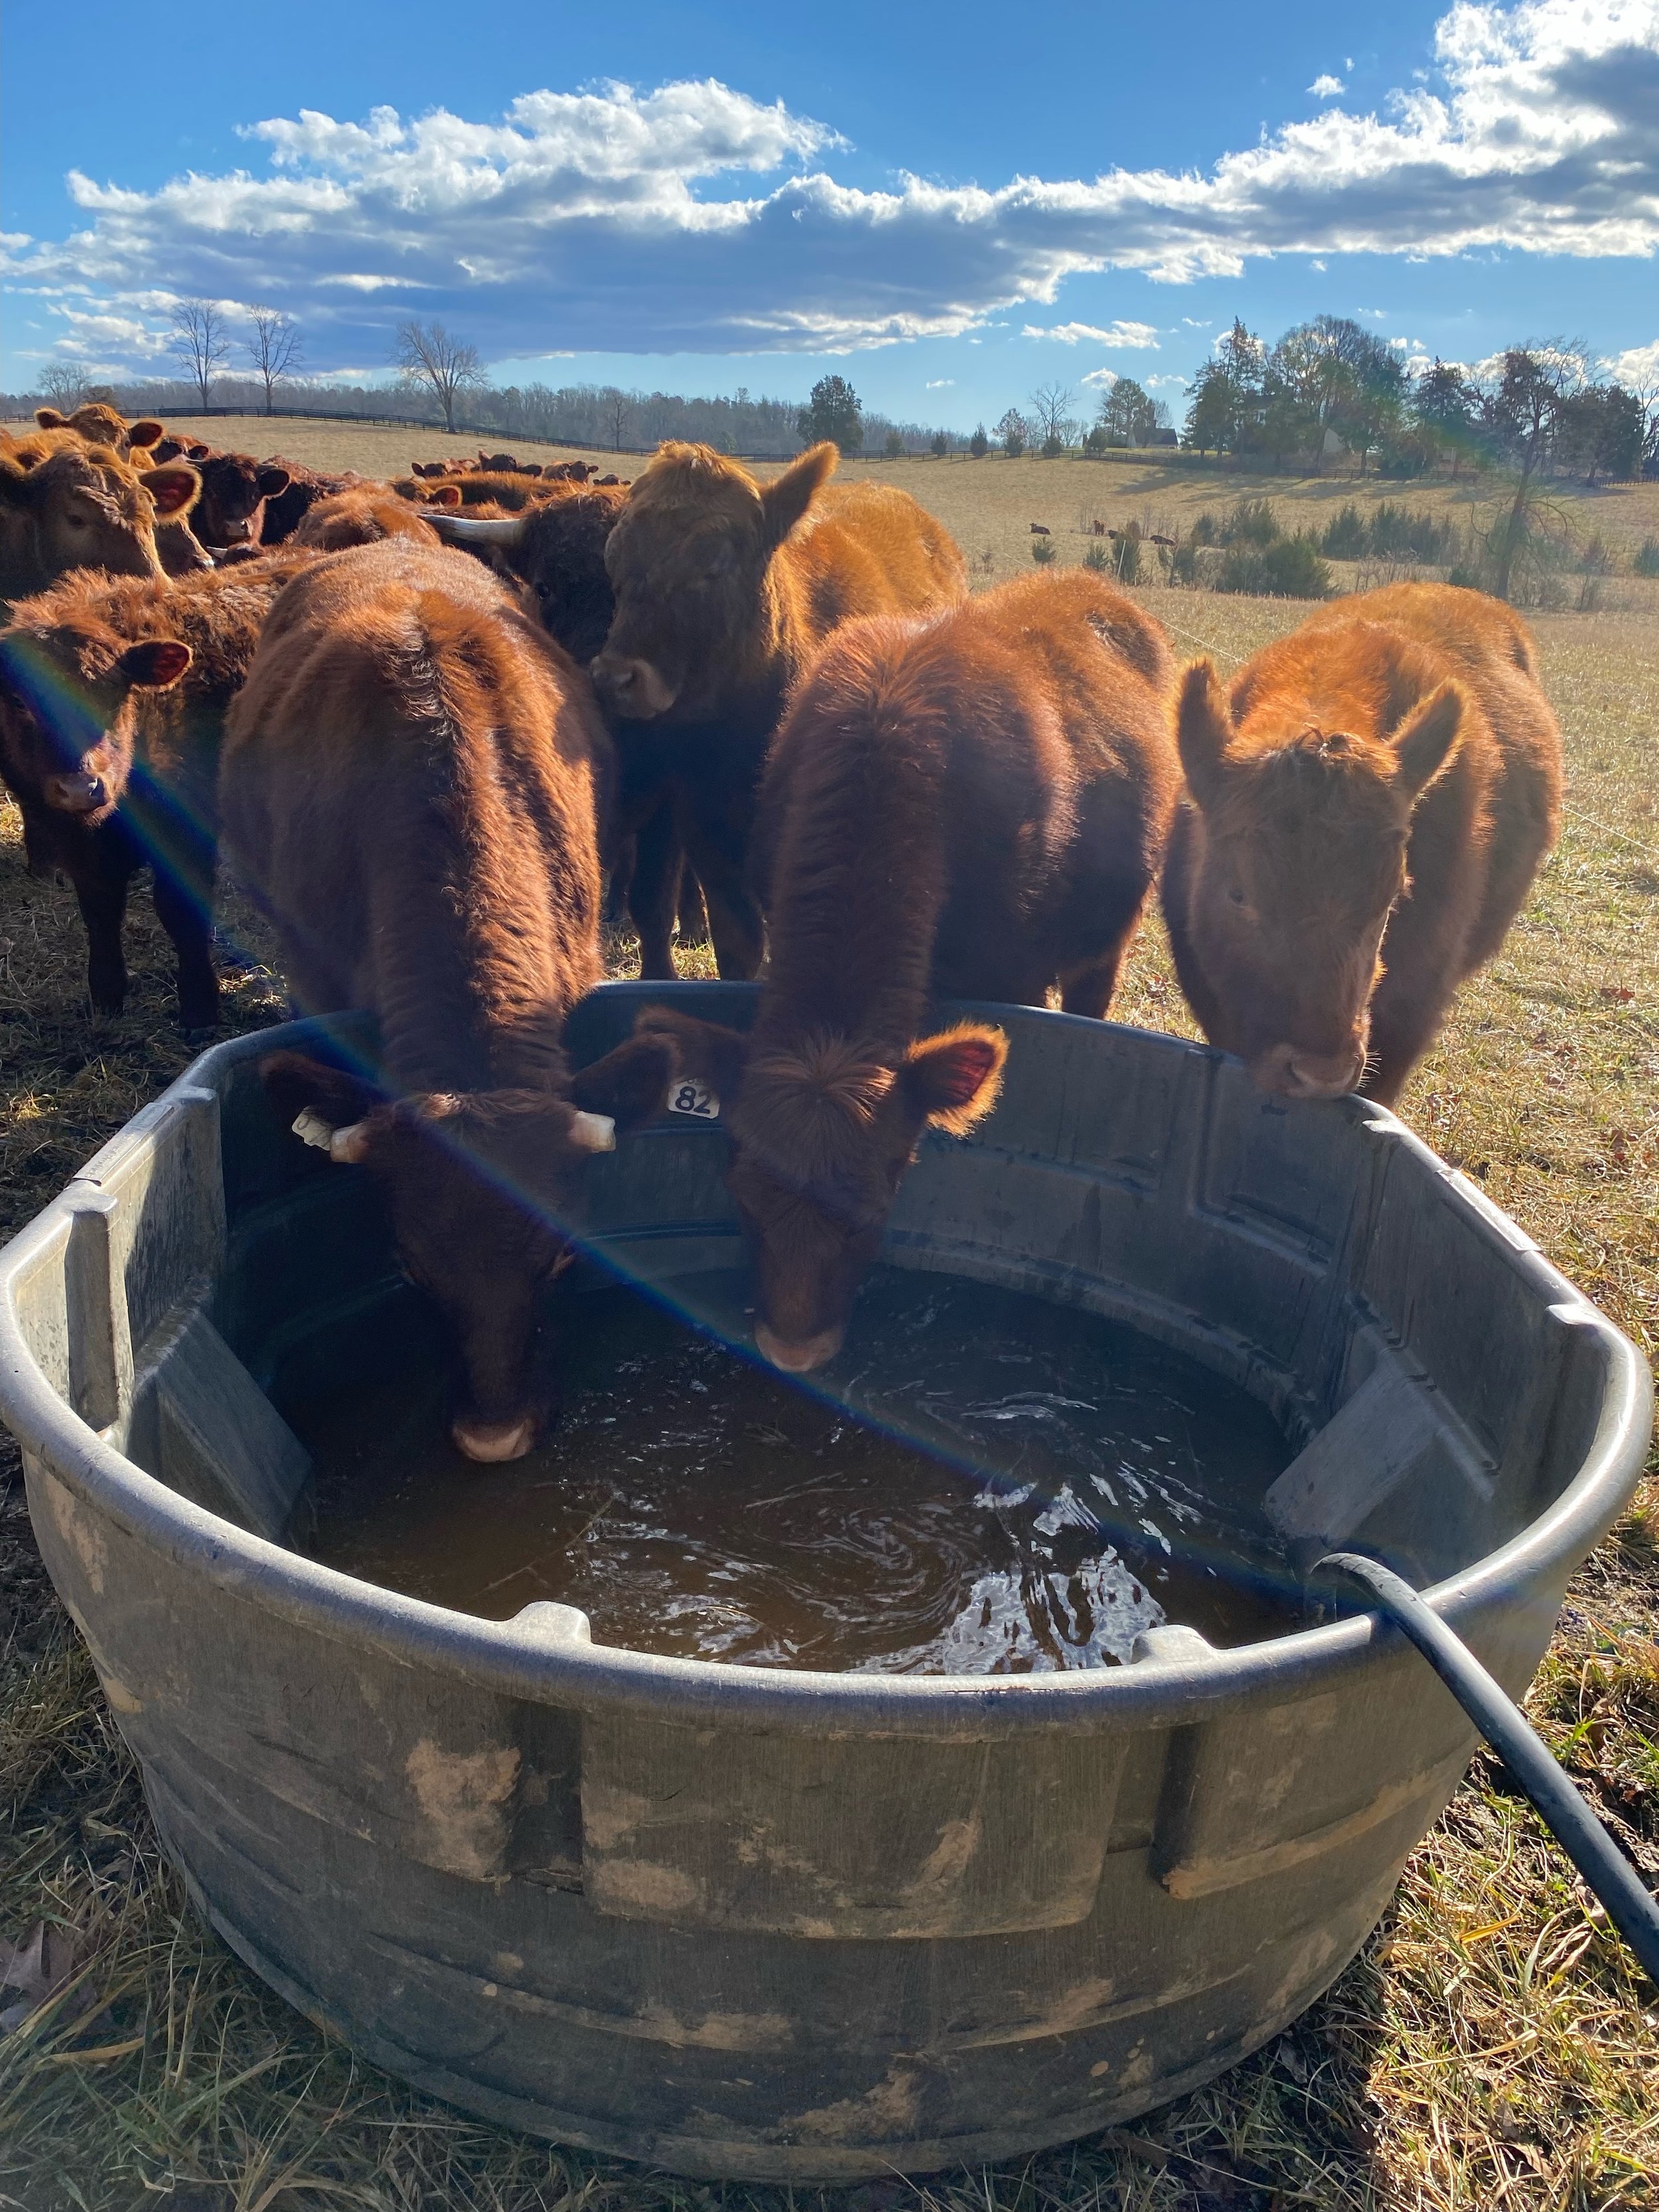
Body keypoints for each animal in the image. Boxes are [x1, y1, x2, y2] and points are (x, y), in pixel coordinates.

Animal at [632, 566, 1185, 1363]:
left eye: (876, 1207)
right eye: (741, 1193)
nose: (792, 1353)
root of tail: (1089, 585)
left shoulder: (1011, 973)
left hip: (1106, 939)